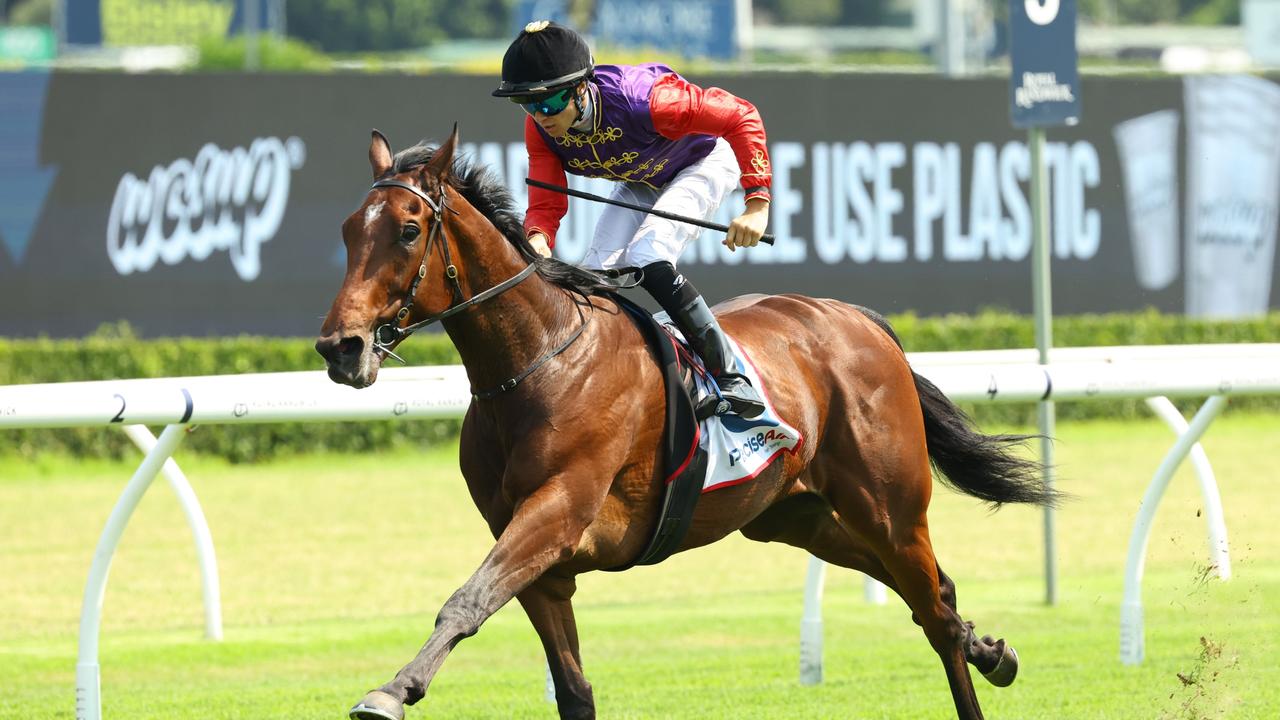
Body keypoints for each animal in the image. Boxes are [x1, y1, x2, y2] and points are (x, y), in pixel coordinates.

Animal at [314, 126, 1054, 712]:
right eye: (348, 230)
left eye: (409, 229)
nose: (339, 347)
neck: (540, 361)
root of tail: (860, 320)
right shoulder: (539, 560)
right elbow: (571, 688)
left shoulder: (556, 512)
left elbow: (465, 601)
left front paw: (390, 691)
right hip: (793, 514)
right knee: (933, 593)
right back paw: (994, 651)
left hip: (890, 506)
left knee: (931, 611)